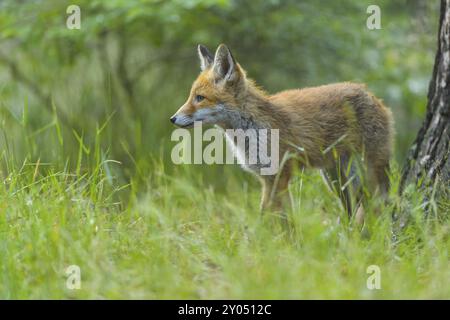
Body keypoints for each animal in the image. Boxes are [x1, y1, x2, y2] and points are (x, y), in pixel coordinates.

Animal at [171, 43, 396, 219]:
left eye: (199, 98)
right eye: (191, 96)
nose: (172, 119)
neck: (253, 128)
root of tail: (373, 96)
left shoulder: (280, 177)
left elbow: (277, 220)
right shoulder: (267, 179)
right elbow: (275, 218)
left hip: (362, 175)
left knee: (377, 208)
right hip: (336, 181)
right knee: (356, 211)